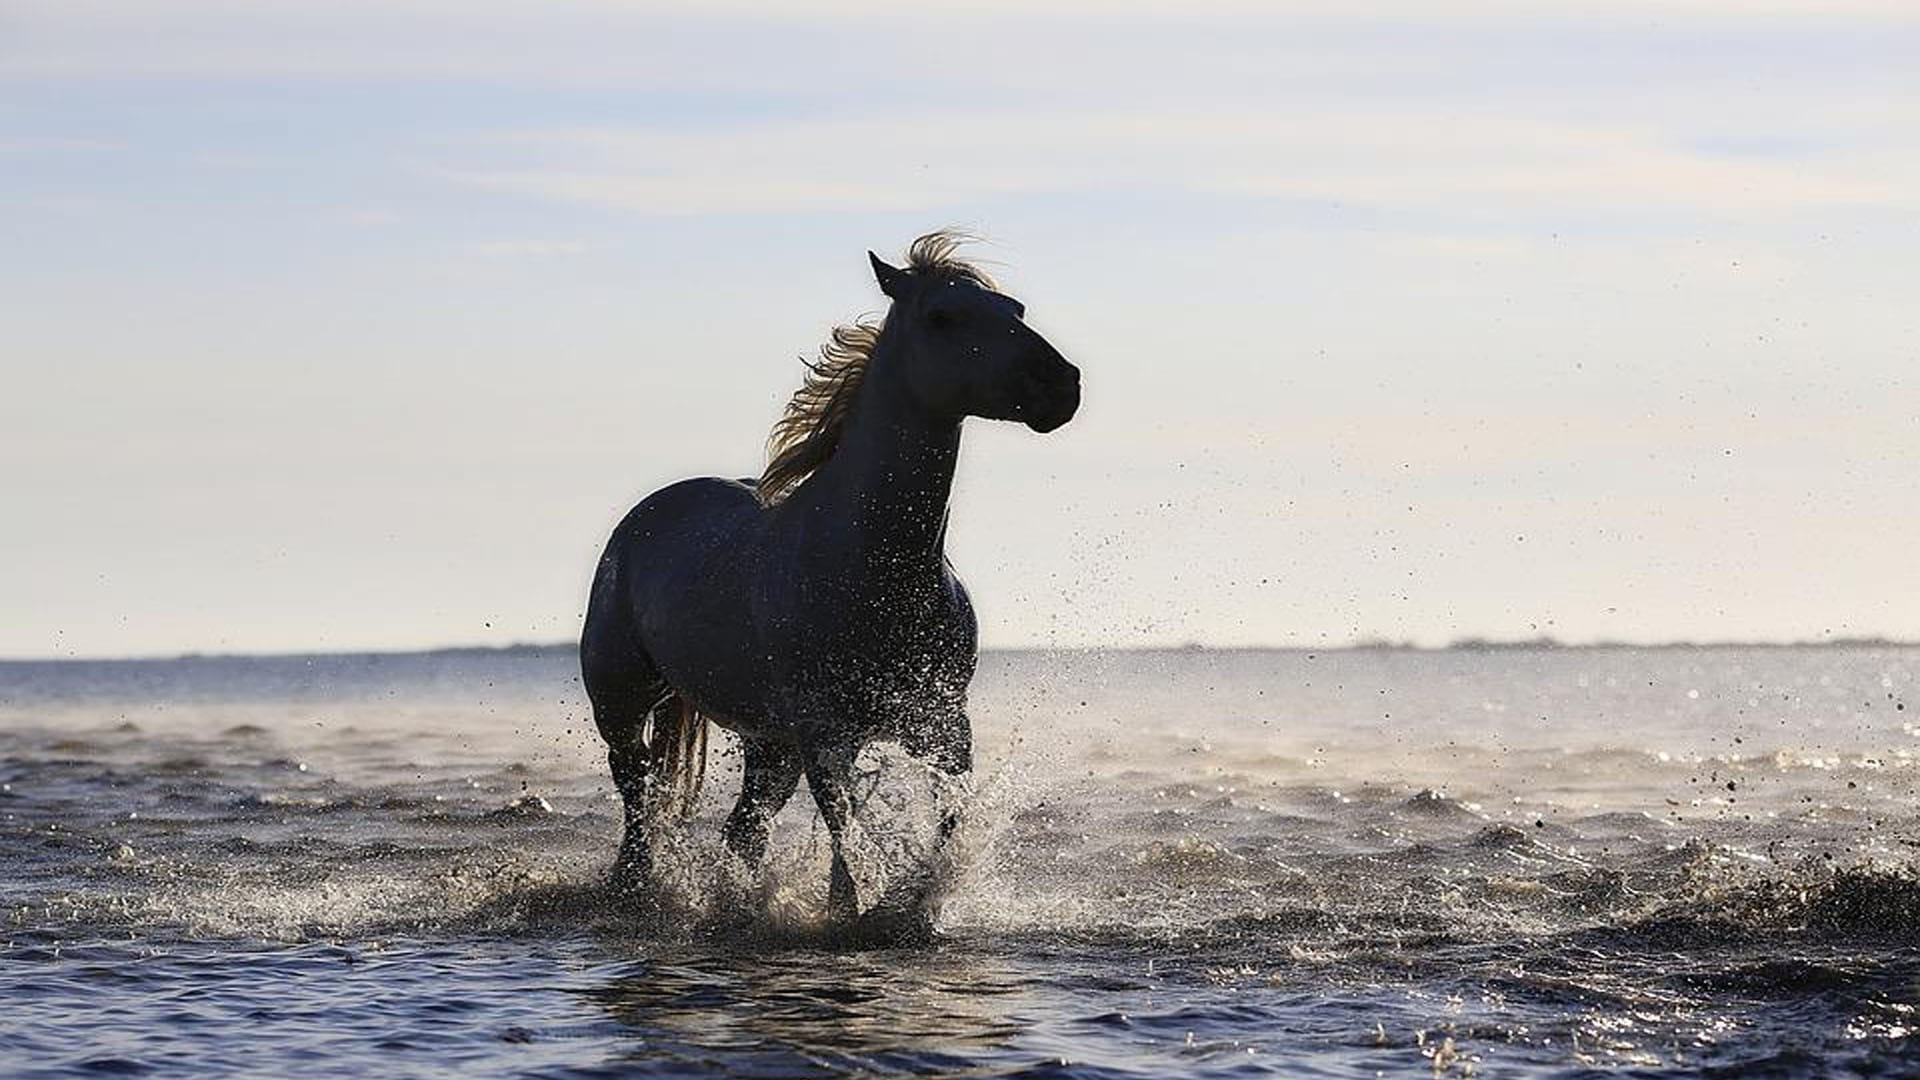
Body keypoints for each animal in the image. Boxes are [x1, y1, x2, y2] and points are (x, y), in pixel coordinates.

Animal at [580, 232, 1081, 930]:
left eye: (1016, 308)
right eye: (942, 317)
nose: (1060, 386)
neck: (875, 567)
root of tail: (644, 516)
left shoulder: (942, 725)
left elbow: (944, 823)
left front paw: (910, 905)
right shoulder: (825, 733)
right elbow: (847, 832)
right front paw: (858, 911)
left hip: (768, 744)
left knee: (744, 828)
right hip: (623, 704)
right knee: (640, 803)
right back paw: (634, 891)